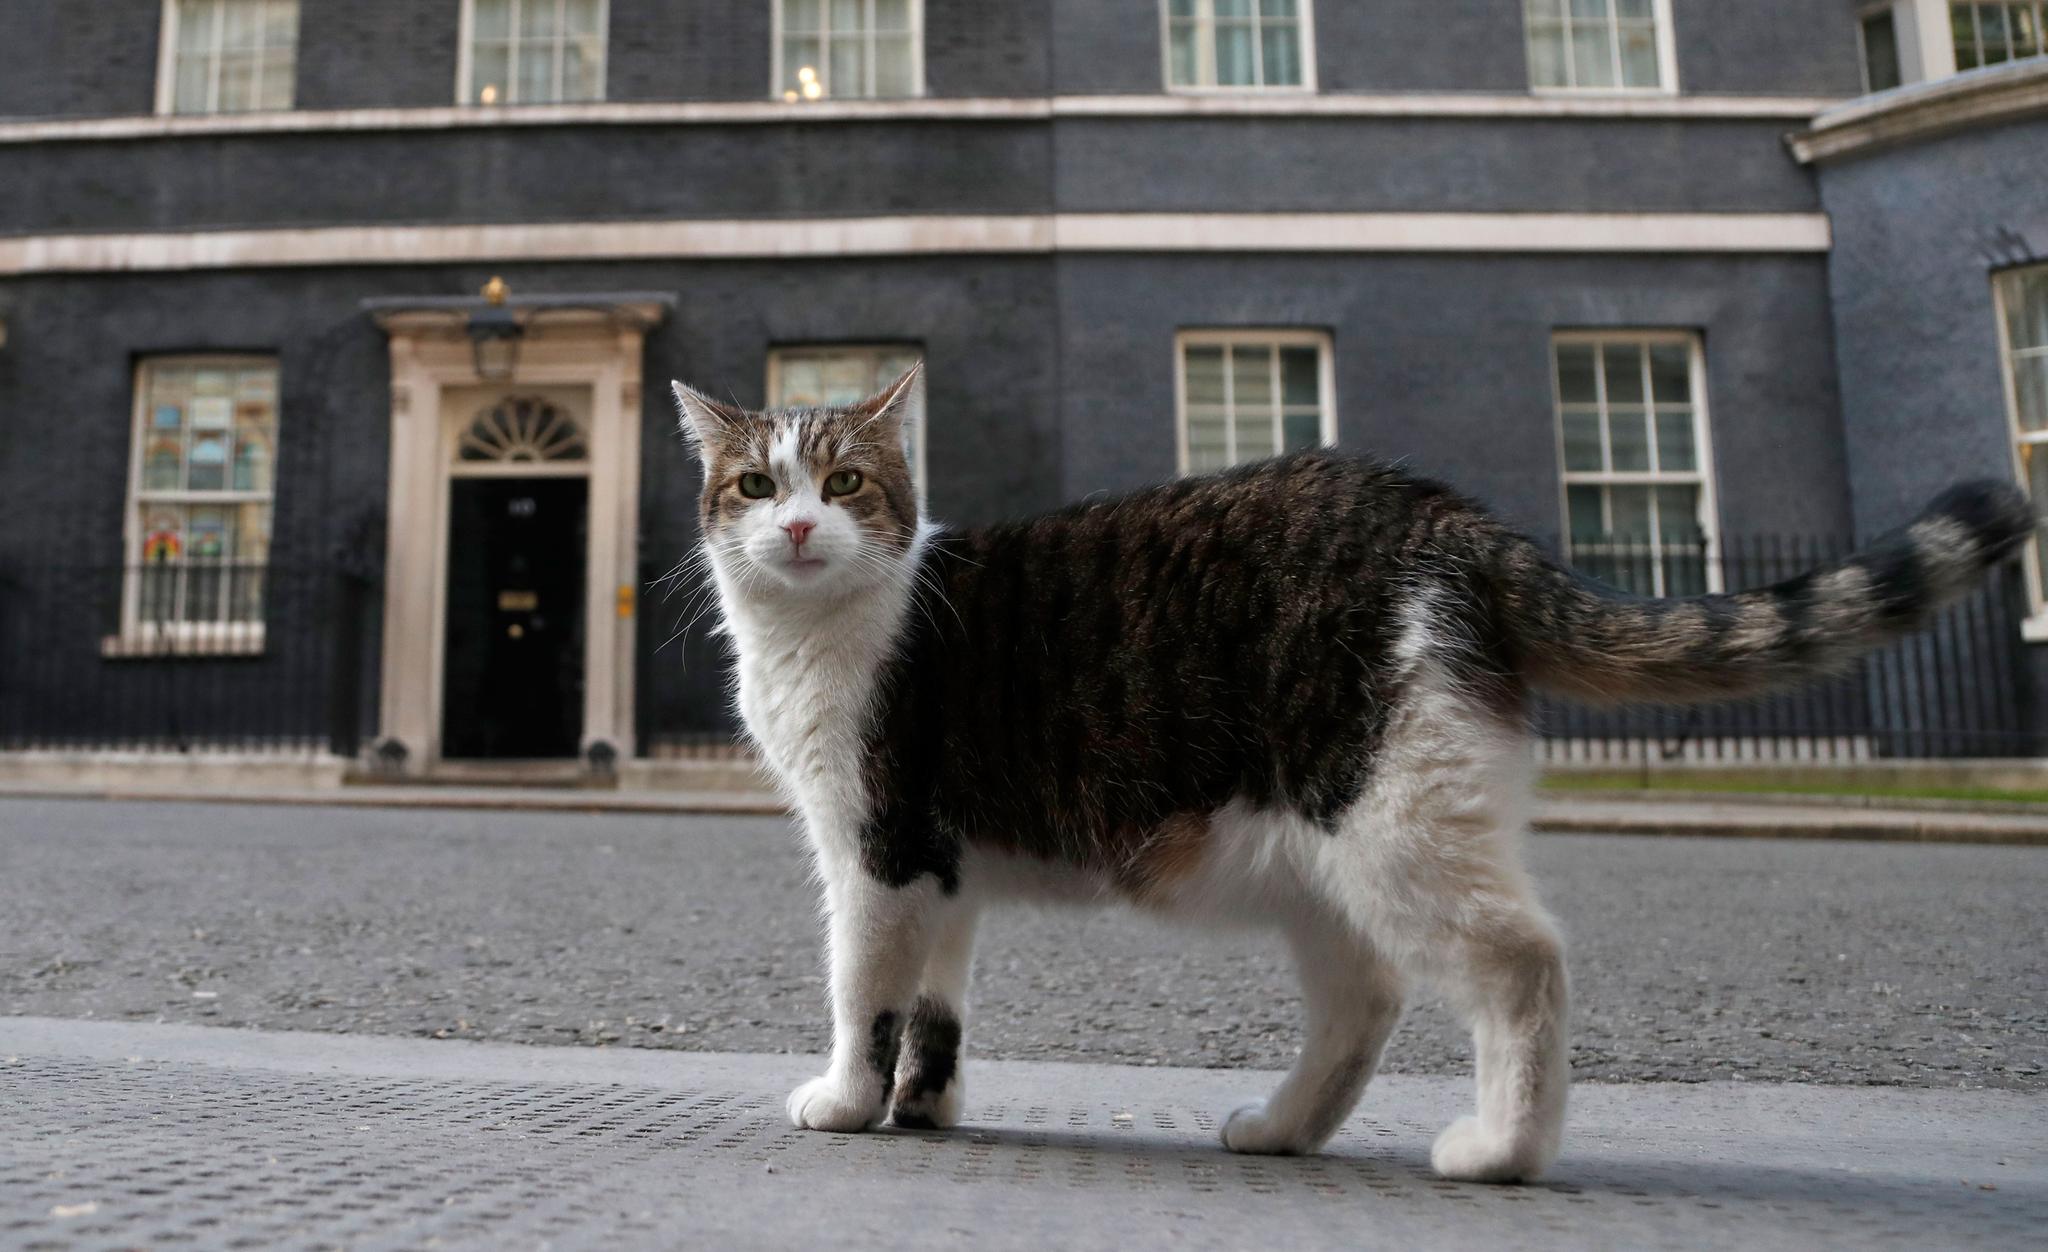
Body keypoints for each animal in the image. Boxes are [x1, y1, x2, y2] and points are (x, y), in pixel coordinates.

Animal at [671, 368, 2031, 1188]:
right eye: (754, 483)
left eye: (847, 481)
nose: (797, 527)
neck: (825, 630)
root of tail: (1445, 518)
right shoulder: (943, 871)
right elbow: (937, 1004)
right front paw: (924, 1107)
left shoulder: (877, 847)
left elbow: (863, 990)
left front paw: (846, 1100)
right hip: (1322, 858)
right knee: (1362, 1001)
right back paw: (1280, 1130)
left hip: (1390, 821)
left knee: (1520, 962)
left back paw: (1500, 1149)